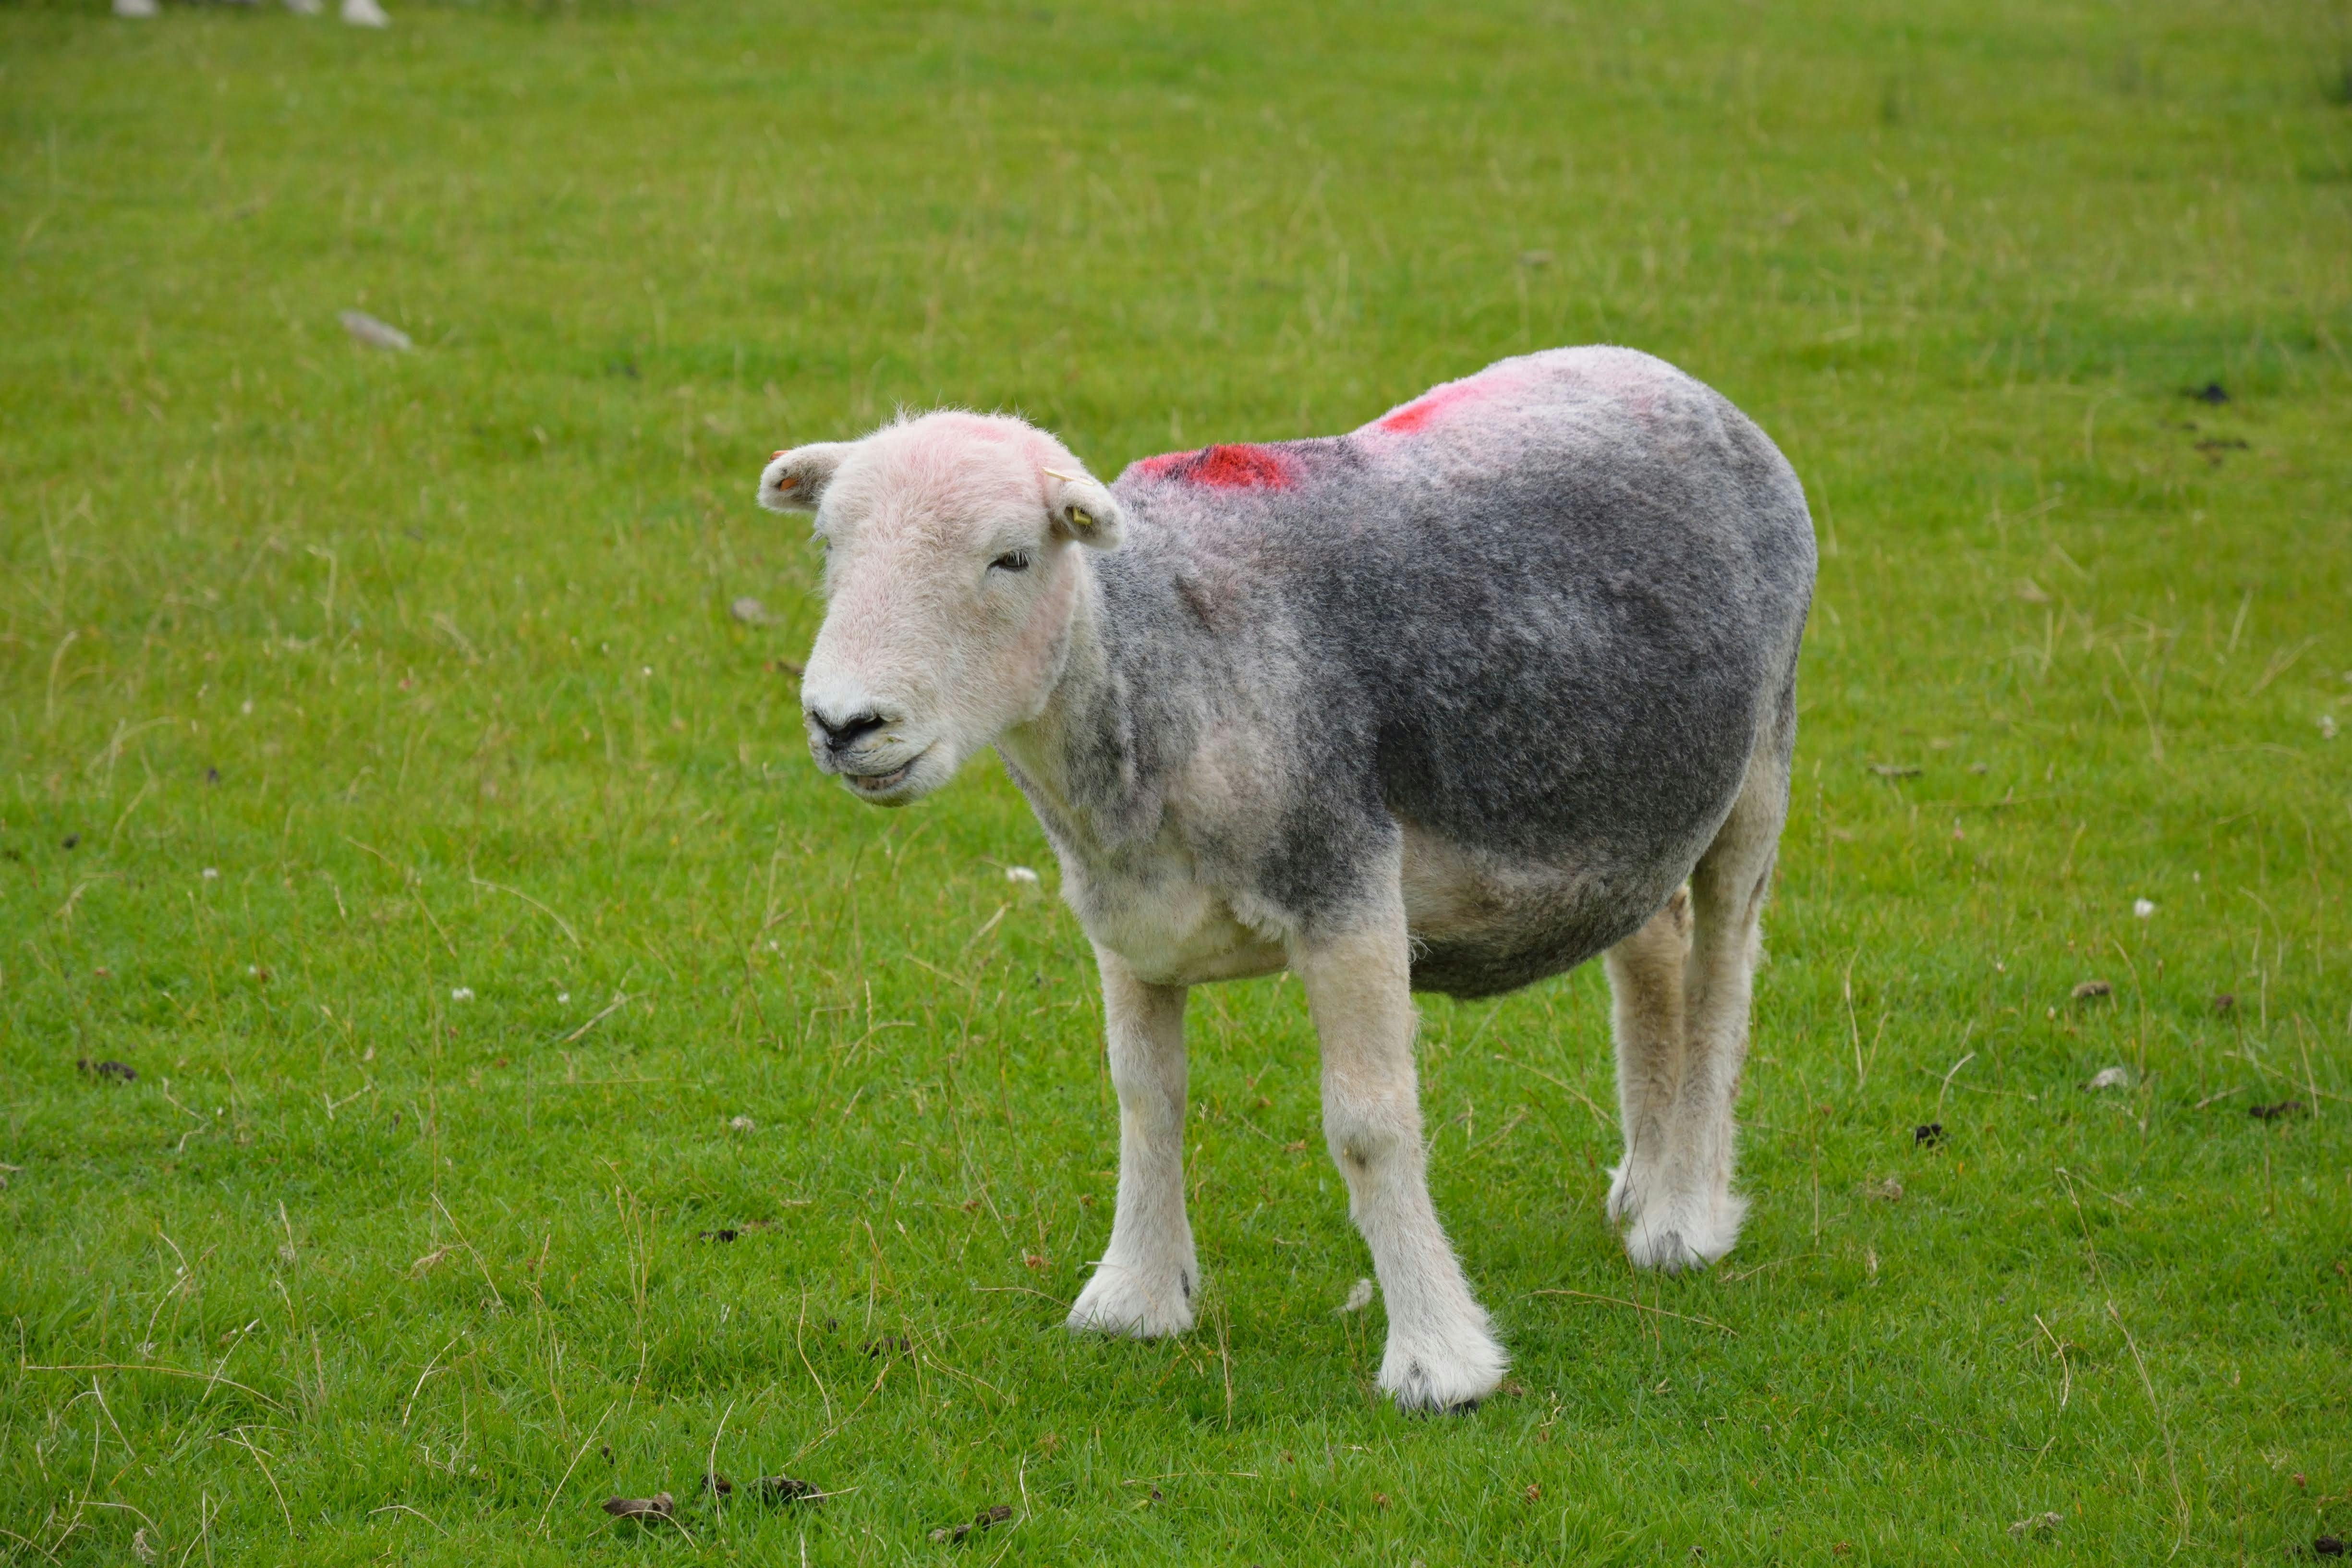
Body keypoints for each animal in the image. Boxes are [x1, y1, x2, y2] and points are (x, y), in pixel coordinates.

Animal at [758, 346, 1816, 1411]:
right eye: (828, 547)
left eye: (1012, 558)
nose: (845, 724)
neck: (1167, 663)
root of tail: (1664, 374)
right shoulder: (1127, 916)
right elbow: (1145, 1098)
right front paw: (1135, 1297)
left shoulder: (1345, 895)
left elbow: (1369, 1125)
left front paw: (1438, 1358)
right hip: (1629, 802)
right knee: (1655, 945)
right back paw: (1643, 1180)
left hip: (1761, 754)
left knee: (1723, 970)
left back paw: (1684, 1216)